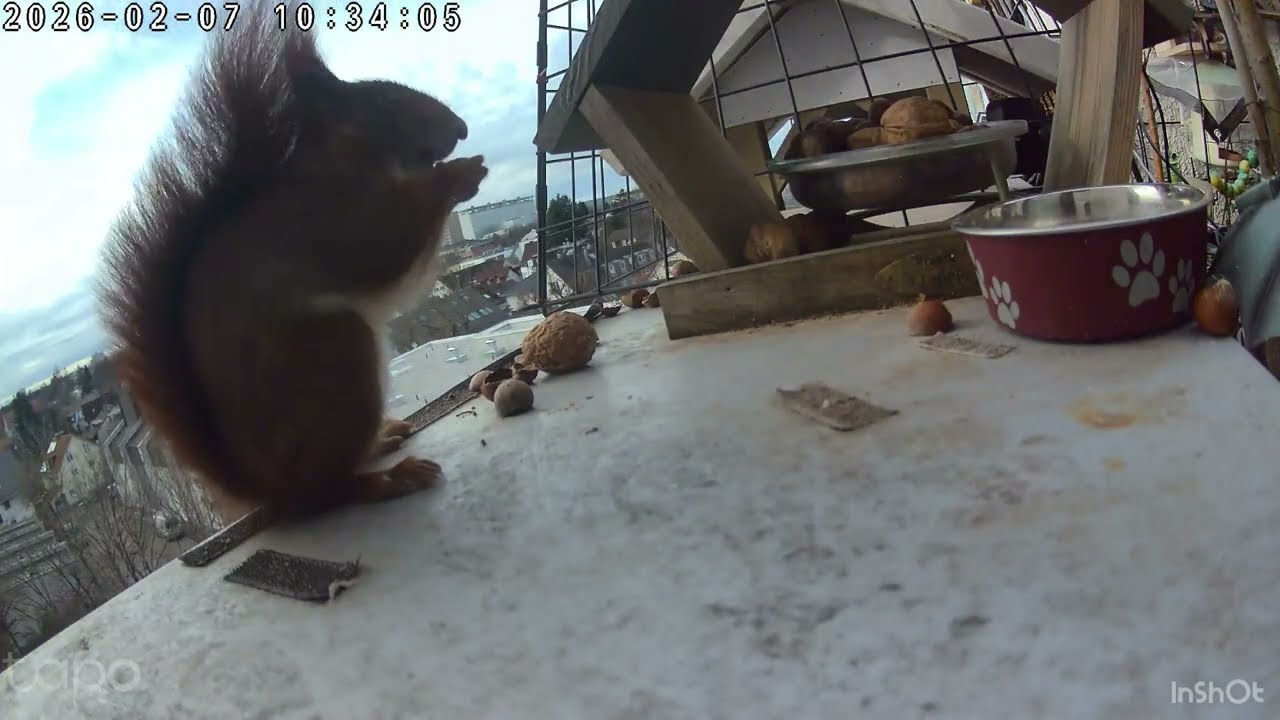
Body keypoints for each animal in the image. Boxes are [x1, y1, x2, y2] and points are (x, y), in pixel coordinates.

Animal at [96, 0, 487, 522]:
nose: (461, 128)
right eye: (387, 101)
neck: (346, 155)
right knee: (327, 492)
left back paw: (384, 437)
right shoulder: (325, 216)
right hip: (332, 353)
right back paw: (386, 479)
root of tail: (270, 489)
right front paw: (457, 175)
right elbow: (381, 241)